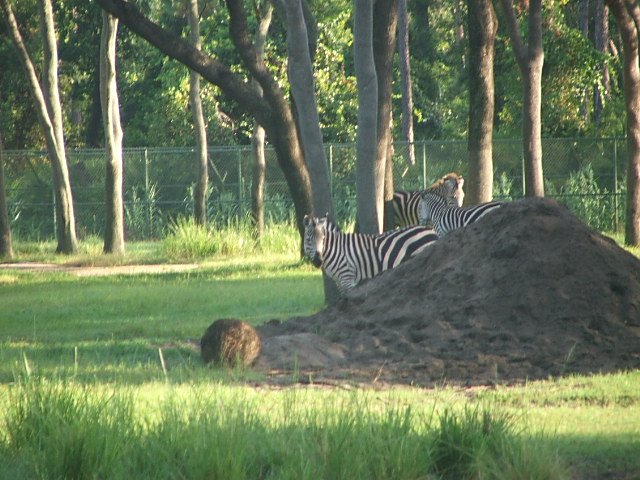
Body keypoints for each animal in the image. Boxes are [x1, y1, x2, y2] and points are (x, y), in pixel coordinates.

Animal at [302, 215, 438, 292]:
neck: (336, 250)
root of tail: (430, 230)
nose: (318, 260)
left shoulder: (347, 278)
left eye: (323, 239)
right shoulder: (339, 282)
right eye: (308, 240)